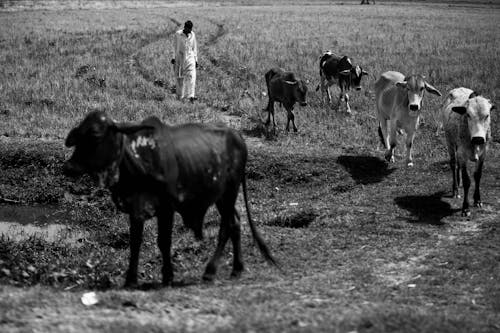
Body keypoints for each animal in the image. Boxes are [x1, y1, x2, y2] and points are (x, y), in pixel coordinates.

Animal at [63, 110, 278, 286]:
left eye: (95, 134)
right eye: (78, 134)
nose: (69, 167)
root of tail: (237, 135)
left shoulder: (166, 207)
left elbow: (163, 241)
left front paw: (167, 276)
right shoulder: (135, 207)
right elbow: (135, 242)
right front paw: (130, 279)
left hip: (230, 191)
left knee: (227, 226)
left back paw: (210, 271)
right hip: (221, 196)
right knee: (235, 222)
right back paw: (237, 269)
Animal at [444, 87, 494, 217]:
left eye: (487, 115)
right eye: (468, 115)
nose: (478, 138)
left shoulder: (483, 154)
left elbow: (477, 176)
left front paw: (477, 200)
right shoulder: (462, 154)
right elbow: (467, 181)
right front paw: (465, 208)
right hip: (450, 143)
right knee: (453, 164)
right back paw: (455, 189)